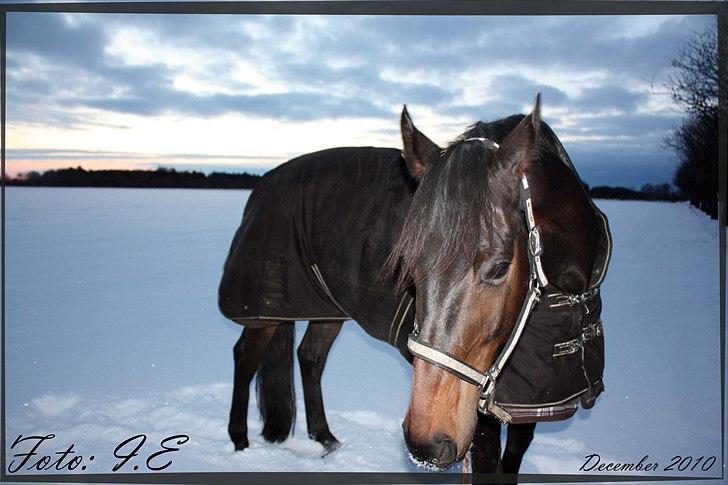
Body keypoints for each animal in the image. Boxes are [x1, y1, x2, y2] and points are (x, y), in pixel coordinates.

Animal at [216, 93, 608, 476]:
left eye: (499, 268)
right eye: (409, 268)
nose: (427, 445)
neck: (570, 294)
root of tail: (264, 184)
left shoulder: (530, 402)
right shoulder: (482, 419)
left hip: (327, 307)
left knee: (309, 355)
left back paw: (326, 439)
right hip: (265, 310)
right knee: (244, 357)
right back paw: (239, 442)